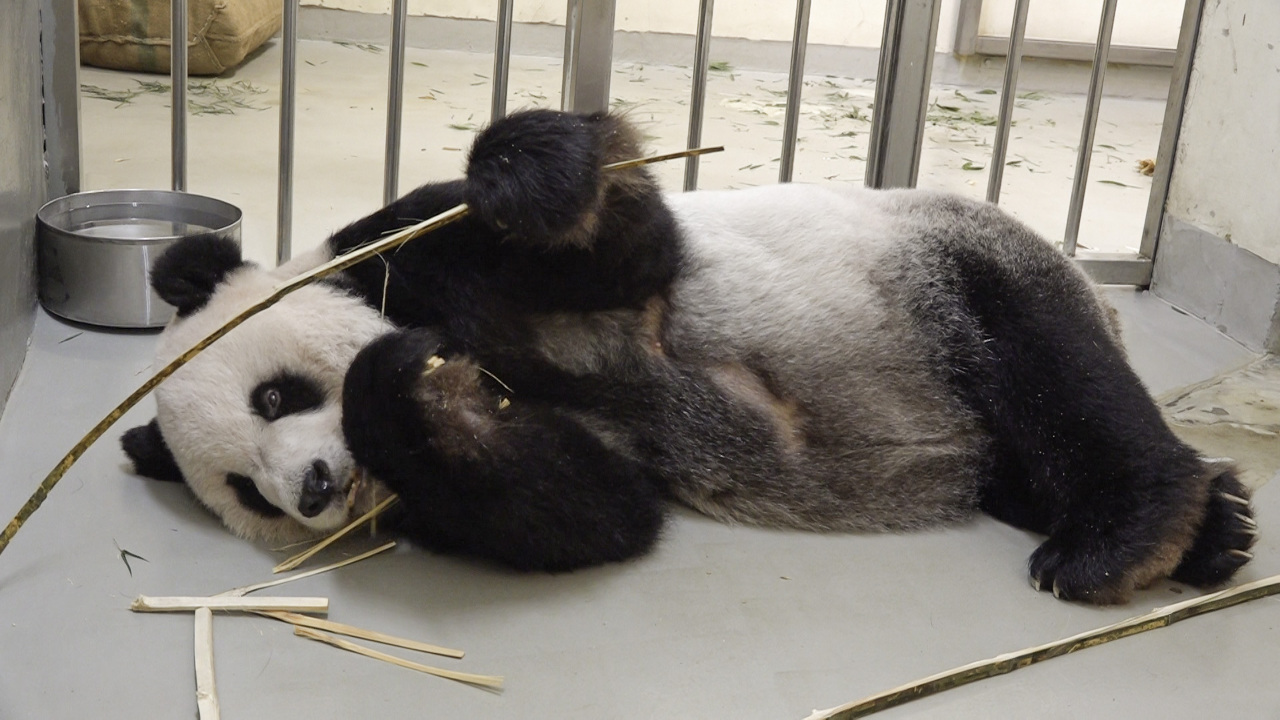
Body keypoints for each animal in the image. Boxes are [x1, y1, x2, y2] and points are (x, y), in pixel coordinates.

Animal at [122, 109, 1256, 604]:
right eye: (249, 494)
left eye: (275, 395)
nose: (314, 488)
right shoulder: (492, 480)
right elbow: (585, 507)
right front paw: (418, 399)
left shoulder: (416, 252)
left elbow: (623, 247)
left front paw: (528, 172)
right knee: (1025, 451)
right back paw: (1215, 529)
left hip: (944, 270)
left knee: (1056, 373)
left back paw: (1128, 533)